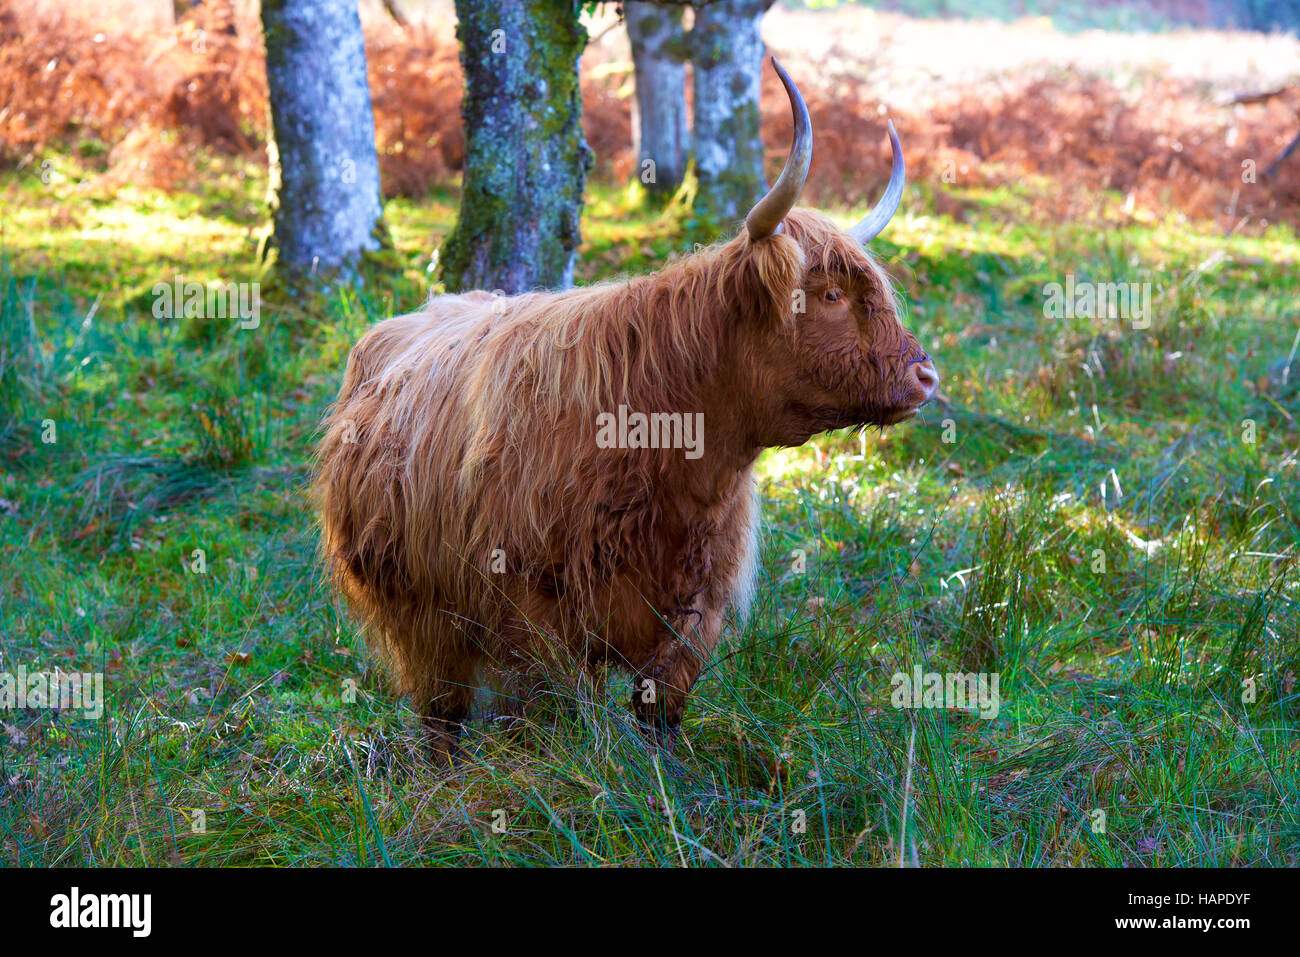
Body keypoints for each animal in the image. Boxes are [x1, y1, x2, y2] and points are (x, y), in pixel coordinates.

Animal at [317, 59, 946, 764]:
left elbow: (661, 706)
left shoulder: (700, 602)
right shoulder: (536, 603)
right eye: (831, 294)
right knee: (441, 706)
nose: (925, 376)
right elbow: (553, 714)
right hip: (416, 606)